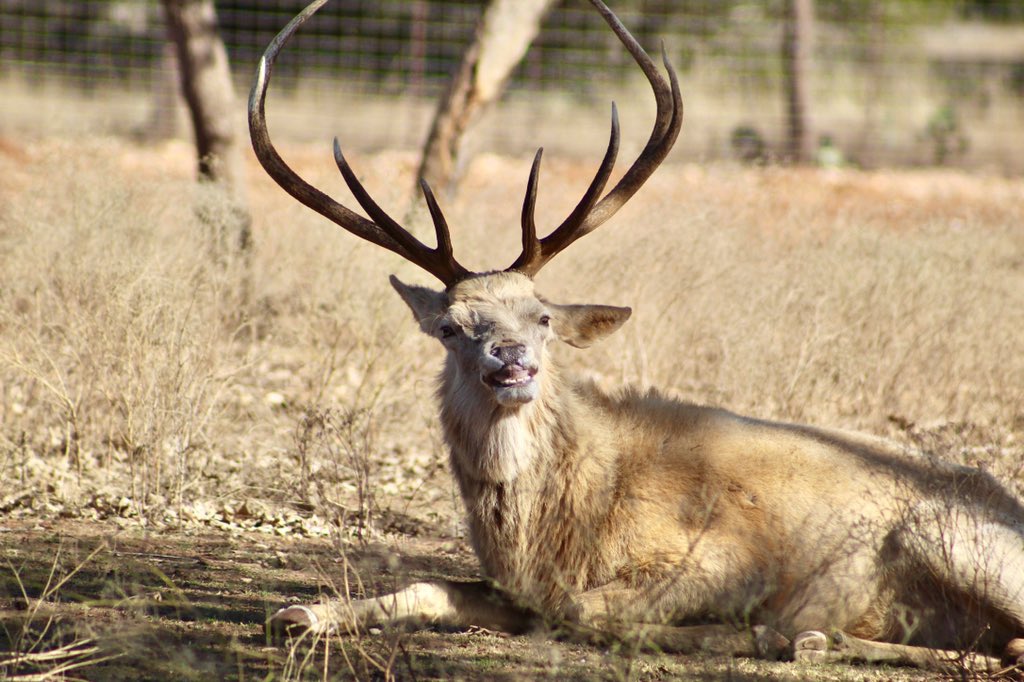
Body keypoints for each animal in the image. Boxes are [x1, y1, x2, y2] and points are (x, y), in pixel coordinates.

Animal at [249, 0, 1024, 674]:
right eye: (450, 326)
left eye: (543, 316)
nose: (511, 361)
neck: (556, 531)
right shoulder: (509, 584)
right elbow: (431, 587)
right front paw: (303, 614)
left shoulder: (720, 557)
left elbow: (583, 610)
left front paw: (737, 632)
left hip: (957, 542)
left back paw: (802, 637)